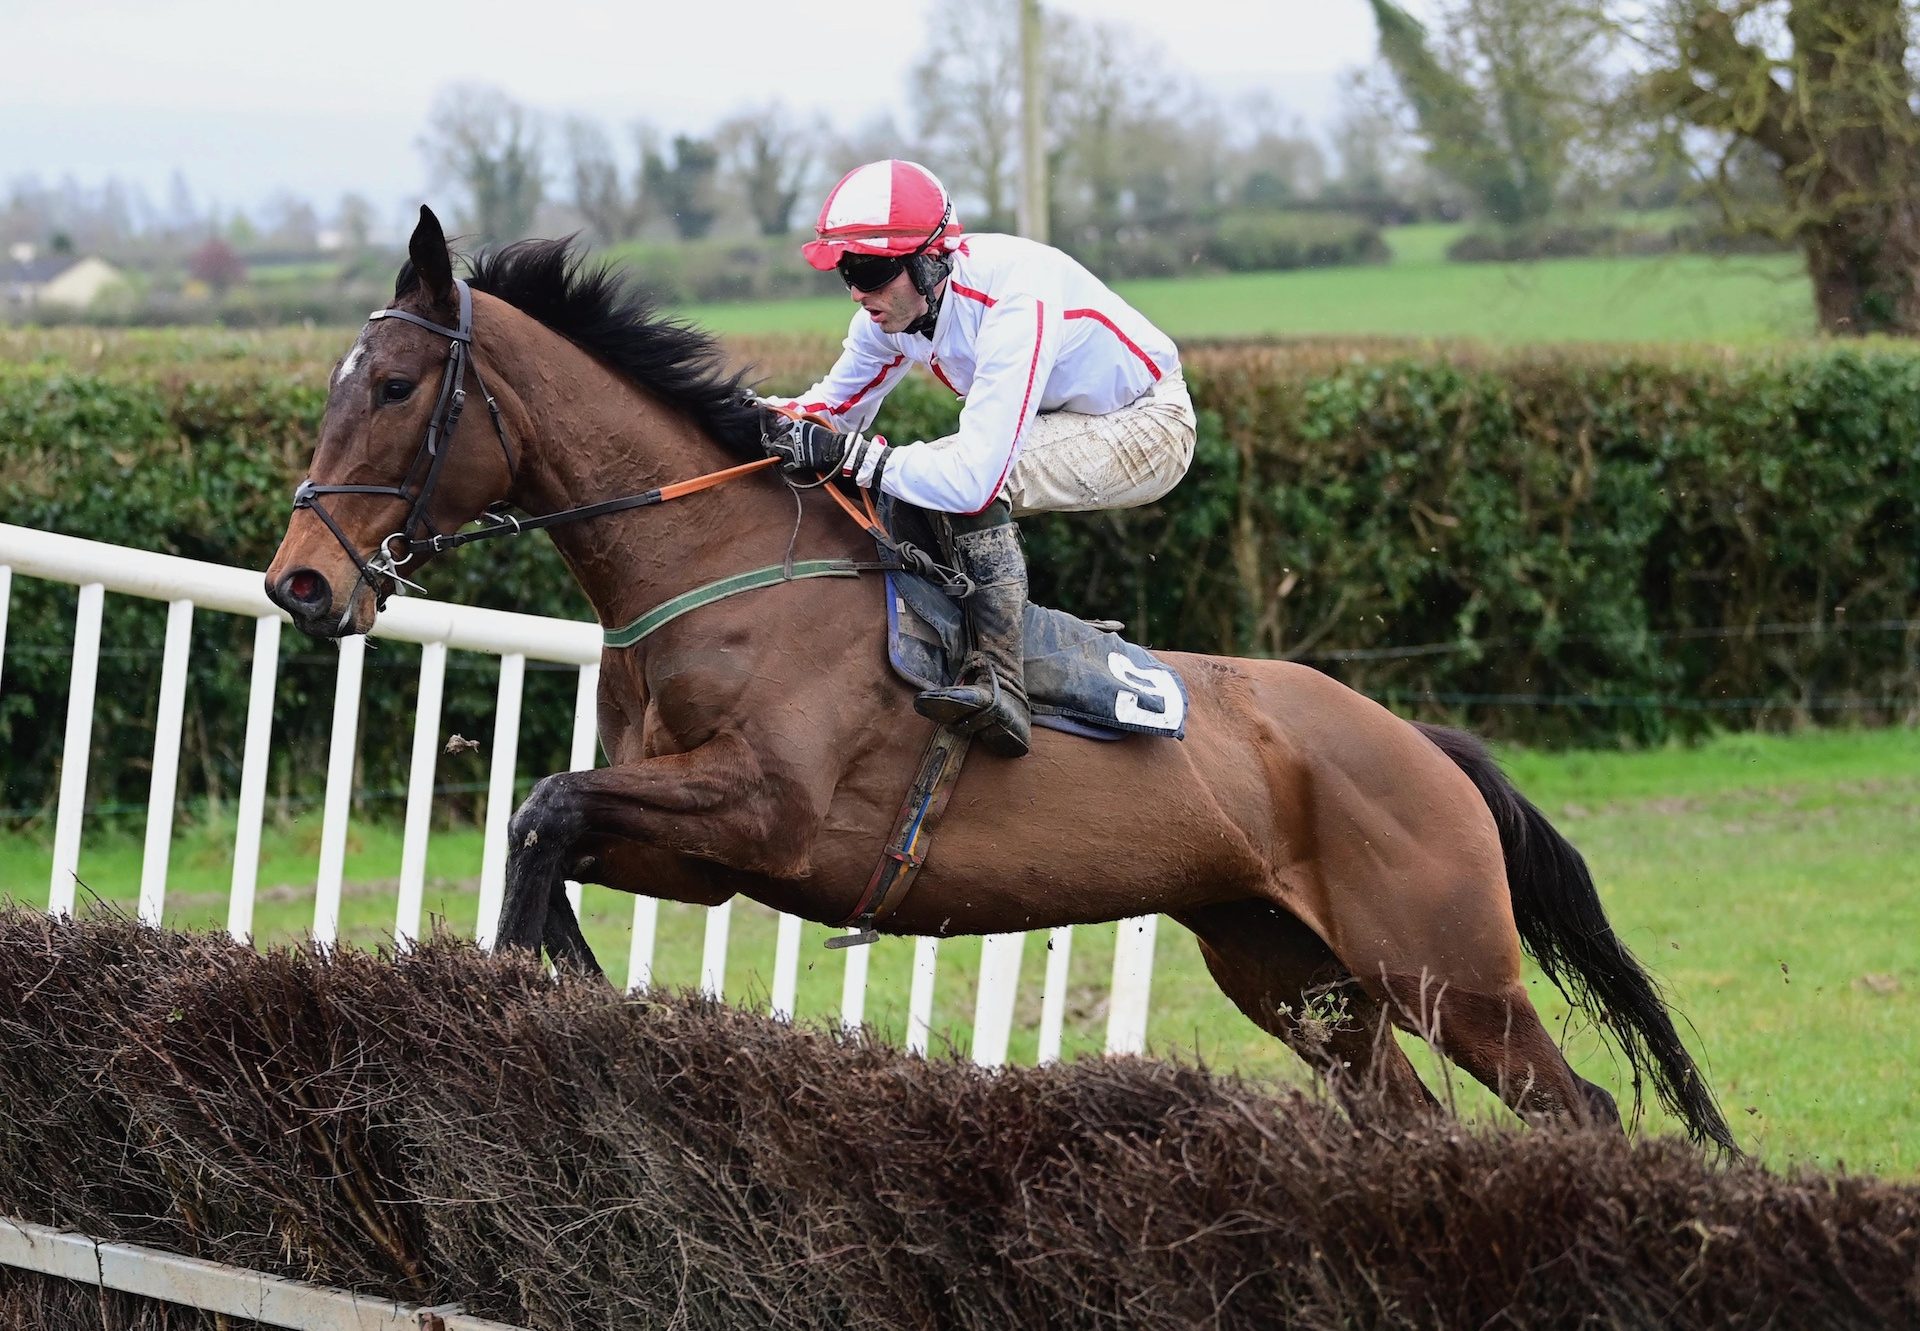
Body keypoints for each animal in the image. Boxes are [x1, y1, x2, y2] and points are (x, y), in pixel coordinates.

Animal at [266, 207, 1743, 1152]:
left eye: (392, 385)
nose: (301, 584)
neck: (727, 566)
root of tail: (1424, 742)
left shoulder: (763, 815)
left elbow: (548, 807)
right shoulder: (701, 847)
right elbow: (547, 819)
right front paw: (561, 992)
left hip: (1450, 969)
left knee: (1581, 1110)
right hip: (1295, 976)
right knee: (1408, 1115)